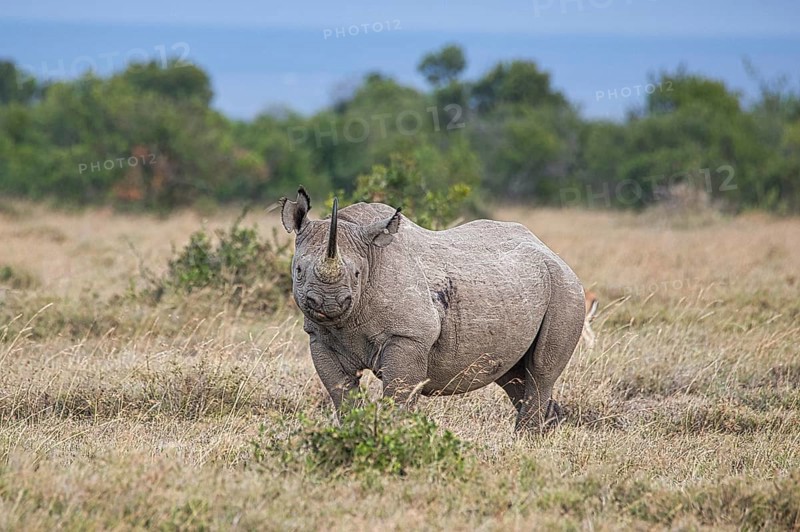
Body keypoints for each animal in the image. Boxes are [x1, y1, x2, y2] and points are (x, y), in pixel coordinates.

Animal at [279, 187, 585, 431]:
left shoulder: (409, 336)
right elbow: (341, 393)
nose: (327, 303)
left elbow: (398, 396)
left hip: (566, 289)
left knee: (540, 371)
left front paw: (392, 436)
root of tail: (552, 253)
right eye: (298, 270)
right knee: (511, 375)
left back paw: (525, 439)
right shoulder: (320, 338)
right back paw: (546, 431)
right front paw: (353, 433)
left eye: (356, 274)